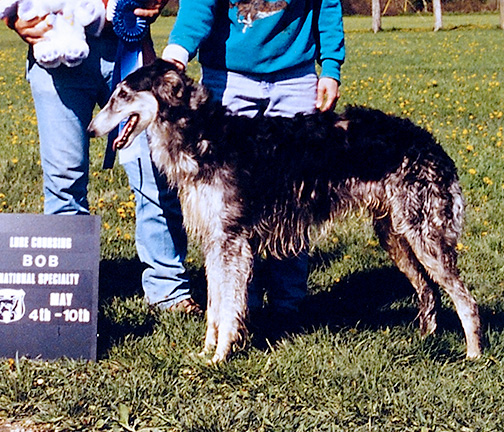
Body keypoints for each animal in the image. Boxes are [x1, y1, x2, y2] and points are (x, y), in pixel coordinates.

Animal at [88, 58, 482, 362]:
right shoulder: (215, 241)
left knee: (466, 300)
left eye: (122, 95)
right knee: (428, 291)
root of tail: (432, 145)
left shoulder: (231, 241)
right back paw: (426, 340)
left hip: (425, 236)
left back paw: (474, 355)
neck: (204, 137)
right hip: (395, 235)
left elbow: (227, 306)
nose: (91, 129)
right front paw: (206, 351)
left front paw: (220, 356)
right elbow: (215, 304)